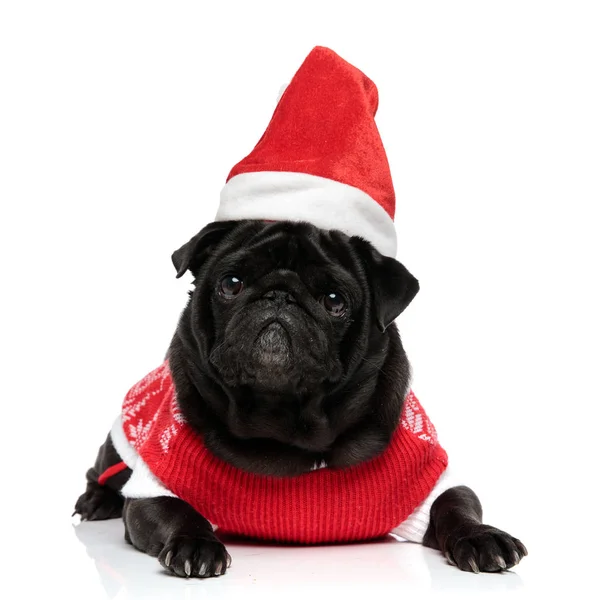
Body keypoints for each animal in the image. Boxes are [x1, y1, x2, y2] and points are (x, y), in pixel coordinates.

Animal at [74, 220, 524, 576]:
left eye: (334, 301)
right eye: (231, 284)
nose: (280, 294)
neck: (287, 429)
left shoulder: (430, 480)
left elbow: (454, 504)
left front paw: (483, 538)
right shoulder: (152, 490)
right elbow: (176, 512)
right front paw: (194, 544)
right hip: (117, 444)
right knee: (103, 471)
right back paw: (95, 501)